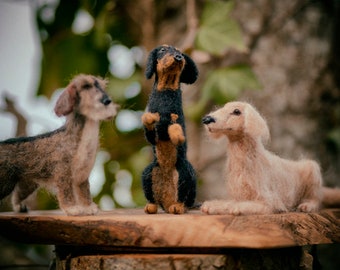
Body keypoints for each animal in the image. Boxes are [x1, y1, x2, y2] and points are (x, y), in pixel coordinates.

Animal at [0, 73, 119, 215]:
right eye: (86, 86)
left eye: (102, 87)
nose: (107, 101)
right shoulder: (63, 173)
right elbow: (66, 192)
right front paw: (72, 209)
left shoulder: (82, 176)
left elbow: (84, 191)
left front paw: (88, 207)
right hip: (5, 183)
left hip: (28, 184)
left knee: (17, 196)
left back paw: (21, 208)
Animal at [141, 44, 199, 215]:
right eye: (162, 50)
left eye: (181, 53)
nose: (178, 57)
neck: (166, 90)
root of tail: (167, 202)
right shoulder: (153, 136)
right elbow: (148, 122)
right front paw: (151, 119)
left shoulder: (176, 117)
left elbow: (175, 127)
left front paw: (177, 136)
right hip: (148, 173)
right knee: (152, 197)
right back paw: (151, 206)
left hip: (185, 172)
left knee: (183, 199)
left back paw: (178, 206)